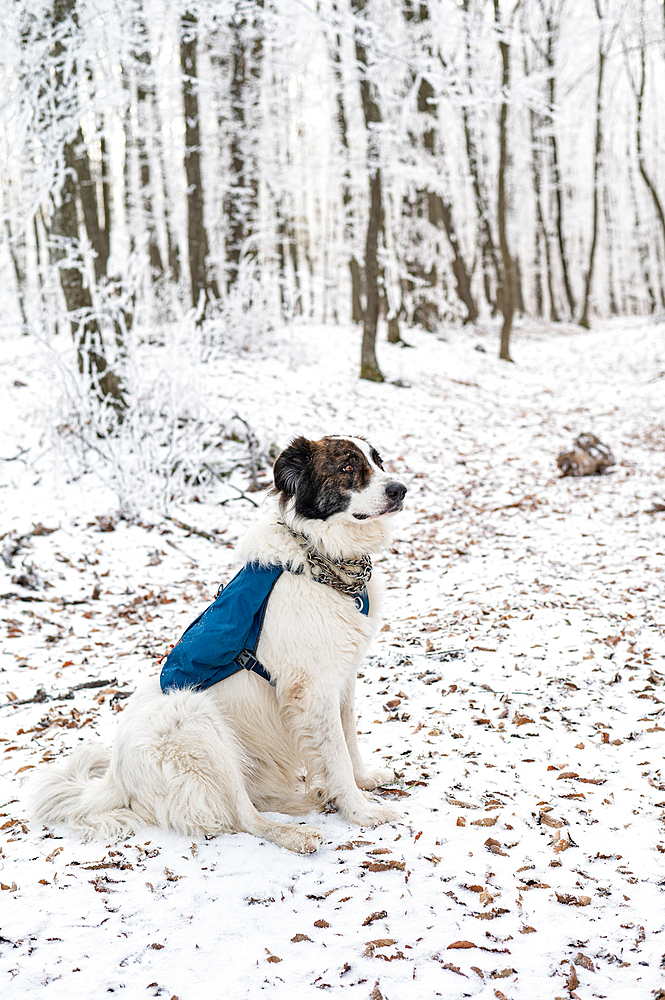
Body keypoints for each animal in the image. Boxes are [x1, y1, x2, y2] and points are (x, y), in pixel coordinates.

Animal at [29, 434, 404, 856]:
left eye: (378, 461)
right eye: (347, 467)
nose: (400, 489)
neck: (319, 556)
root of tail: (115, 778)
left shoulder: (342, 681)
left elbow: (350, 739)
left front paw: (365, 780)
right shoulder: (313, 691)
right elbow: (337, 755)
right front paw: (362, 811)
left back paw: (313, 797)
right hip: (197, 720)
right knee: (244, 816)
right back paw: (296, 833)